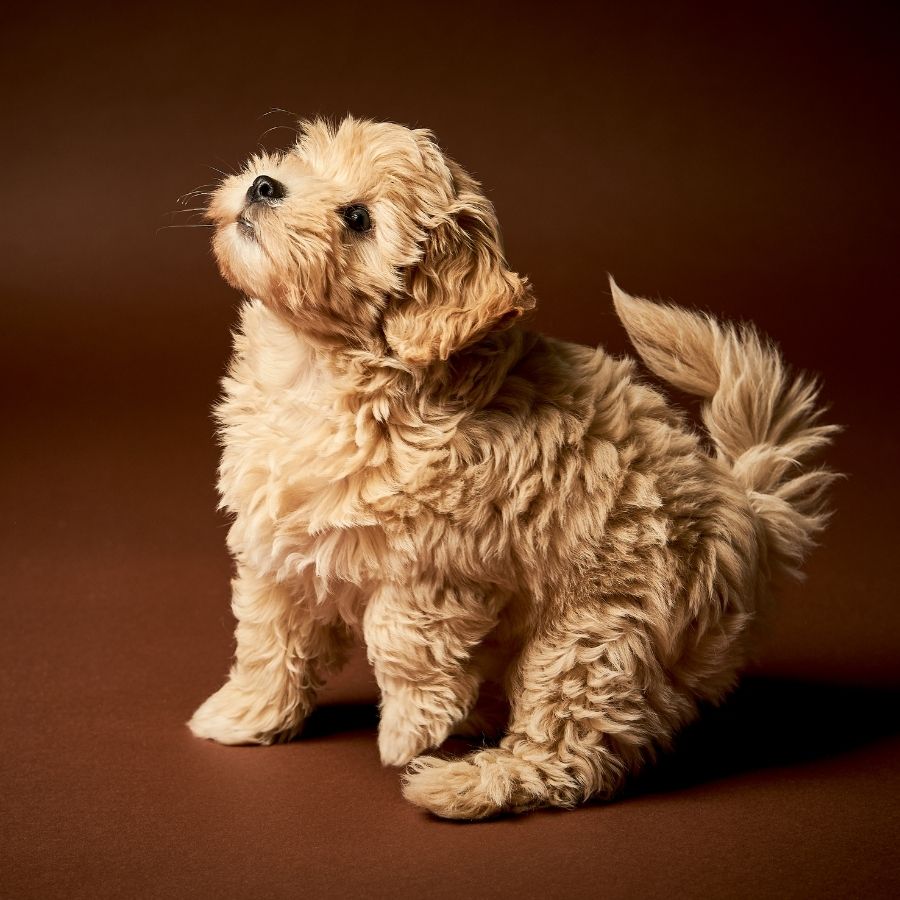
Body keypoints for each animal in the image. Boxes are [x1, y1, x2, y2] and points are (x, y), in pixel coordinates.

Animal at [188, 116, 836, 820]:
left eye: (358, 218)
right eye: (303, 156)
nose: (265, 184)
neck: (320, 370)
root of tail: (746, 514)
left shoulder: (440, 565)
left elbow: (401, 641)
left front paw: (408, 730)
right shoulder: (278, 548)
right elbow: (268, 638)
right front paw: (244, 715)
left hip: (596, 637)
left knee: (568, 752)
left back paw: (461, 783)